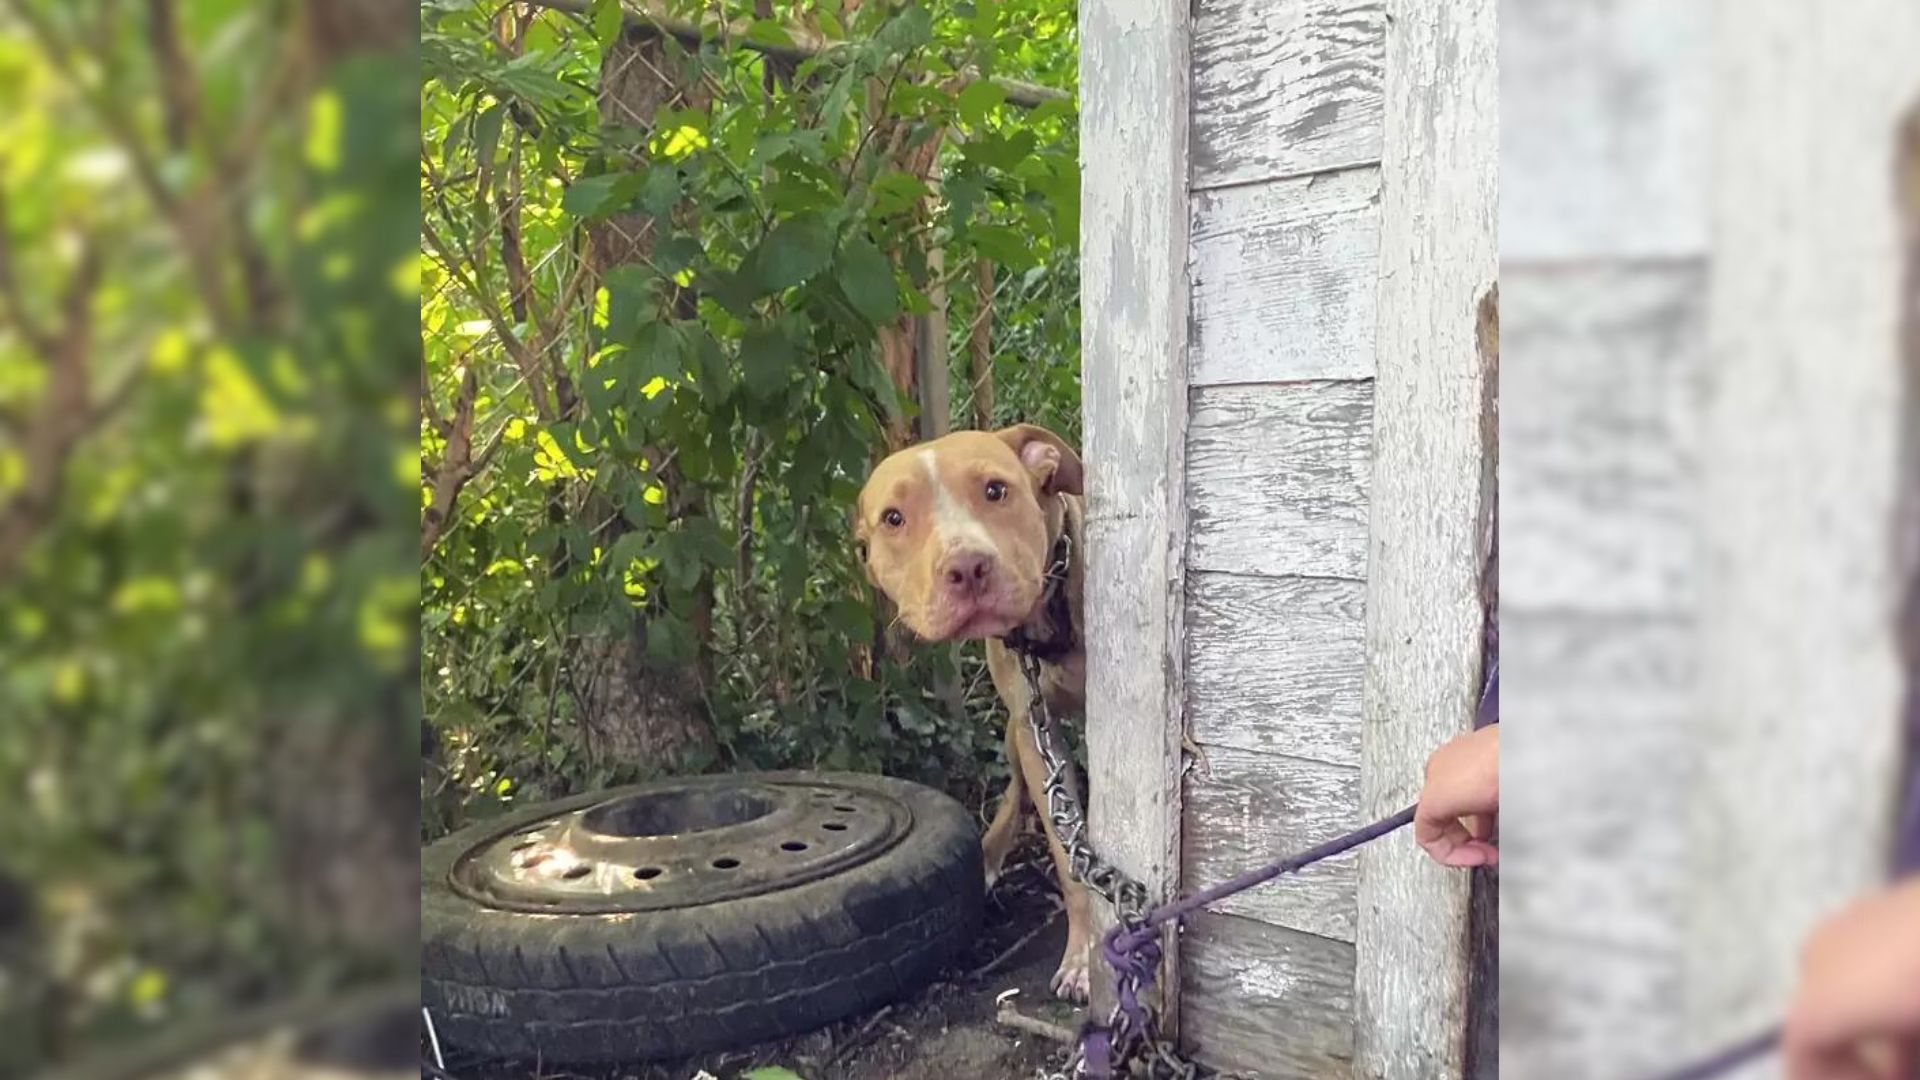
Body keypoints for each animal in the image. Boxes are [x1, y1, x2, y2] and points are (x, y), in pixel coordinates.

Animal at [848, 422, 1090, 999]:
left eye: (996, 490)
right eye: (894, 518)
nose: (966, 566)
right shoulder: (1034, 730)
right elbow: (1068, 854)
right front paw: (1086, 954)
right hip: (1015, 735)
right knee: (1017, 791)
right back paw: (988, 855)